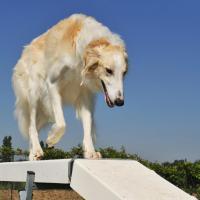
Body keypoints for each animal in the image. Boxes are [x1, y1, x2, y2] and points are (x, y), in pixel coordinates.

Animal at [12, 13, 128, 161]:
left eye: (124, 73)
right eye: (109, 70)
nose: (120, 102)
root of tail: (26, 48)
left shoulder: (85, 95)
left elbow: (88, 125)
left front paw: (90, 152)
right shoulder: (52, 83)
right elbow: (62, 124)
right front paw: (51, 138)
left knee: (33, 128)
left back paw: (33, 153)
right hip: (34, 94)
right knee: (31, 126)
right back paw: (37, 151)